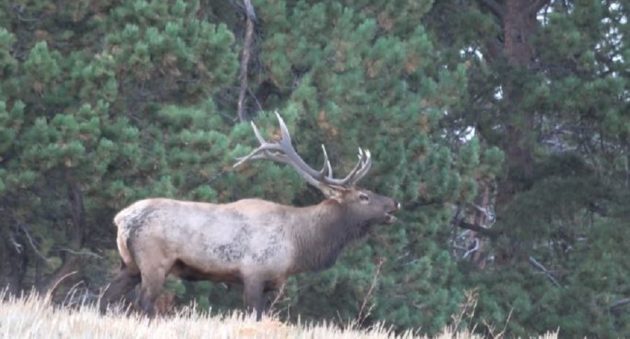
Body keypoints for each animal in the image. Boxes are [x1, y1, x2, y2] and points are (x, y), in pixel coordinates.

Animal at [101, 113, 402, 320]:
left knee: (105, 297)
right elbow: (254, 316)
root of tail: (121, 220)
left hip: (129, 264)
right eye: (363, 196)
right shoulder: (254, 273)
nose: (394, 203)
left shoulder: (272, 283)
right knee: (144, 302)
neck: (298, 244)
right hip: (155, 262)